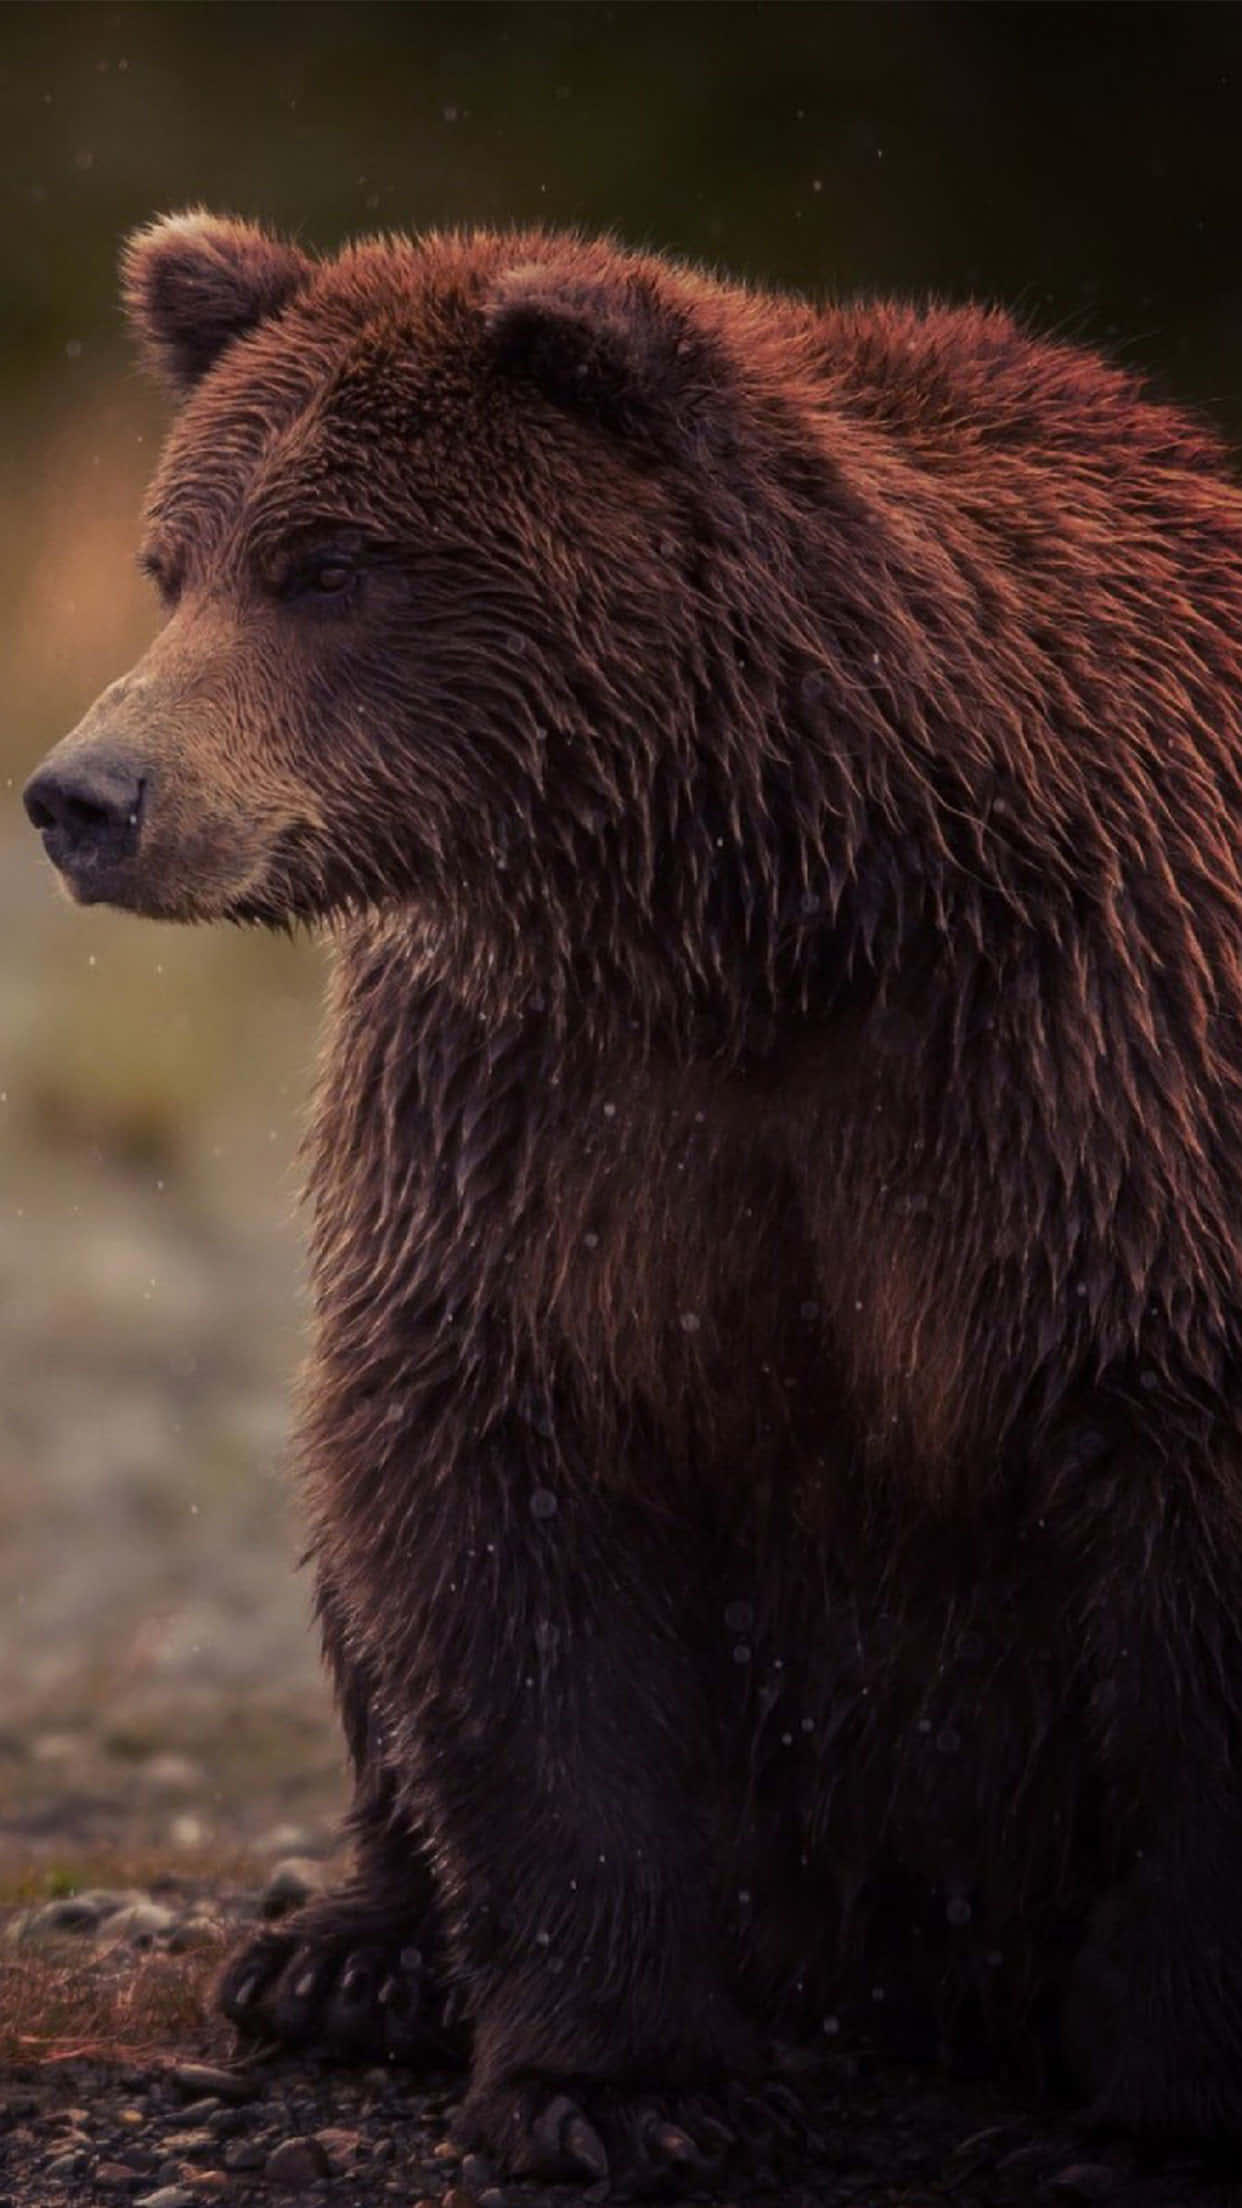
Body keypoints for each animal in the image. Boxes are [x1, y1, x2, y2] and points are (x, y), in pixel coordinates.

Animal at [22, 209, 1242, 2186]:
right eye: (171, 562)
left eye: (326, 562)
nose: (85, 796)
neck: (769, 906)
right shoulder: (533, 1106)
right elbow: (502, 1504)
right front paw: (622, 2085)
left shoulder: (1086, 1060)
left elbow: (1174, 1559)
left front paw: (1135, 2122)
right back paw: (343, 1956)